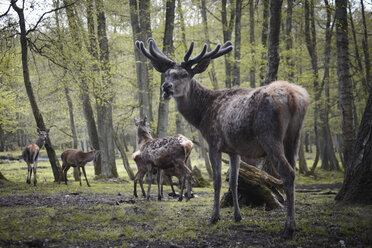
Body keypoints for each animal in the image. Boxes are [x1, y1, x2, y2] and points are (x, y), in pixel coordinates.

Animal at [135, 37, 310, 237]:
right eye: (166, 74)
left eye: (184, 74)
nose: (166, 87)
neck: (202, 114)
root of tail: (294, 97)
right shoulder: (234, 149)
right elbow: (234, 181)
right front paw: (237, 216)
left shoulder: (214, 142)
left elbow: (218, 181)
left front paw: (214, 217)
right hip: (294, 136)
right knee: (293, 170)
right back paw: (293, 222)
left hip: (269, 135)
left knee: (287, 173)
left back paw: (289, 227)